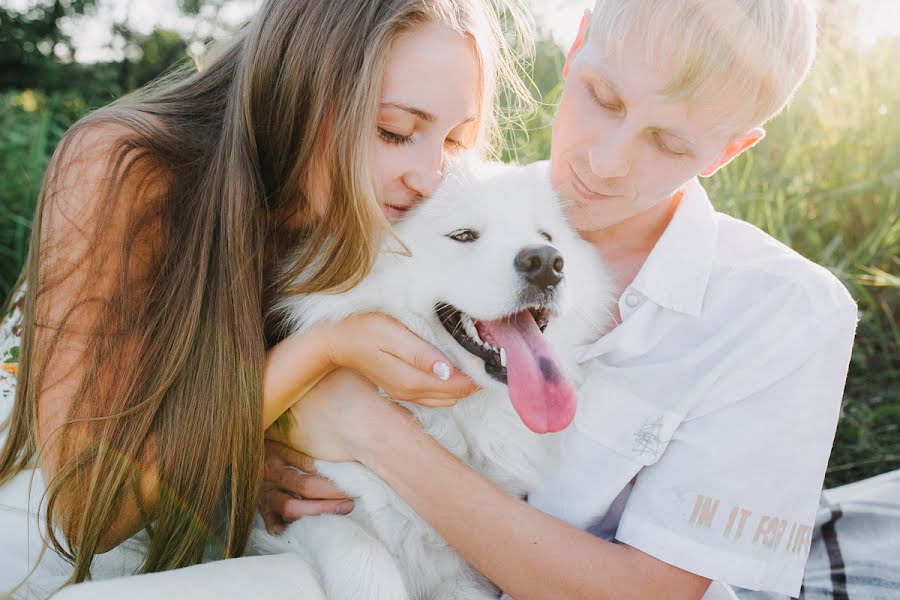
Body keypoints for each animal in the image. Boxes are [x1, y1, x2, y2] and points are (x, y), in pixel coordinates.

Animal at [253, 159, 620, 600]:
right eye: (463, 235)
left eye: (546, 236)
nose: (547, 263)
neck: (453, 425)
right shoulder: (300, 515)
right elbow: (364, 554)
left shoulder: (461, 577)